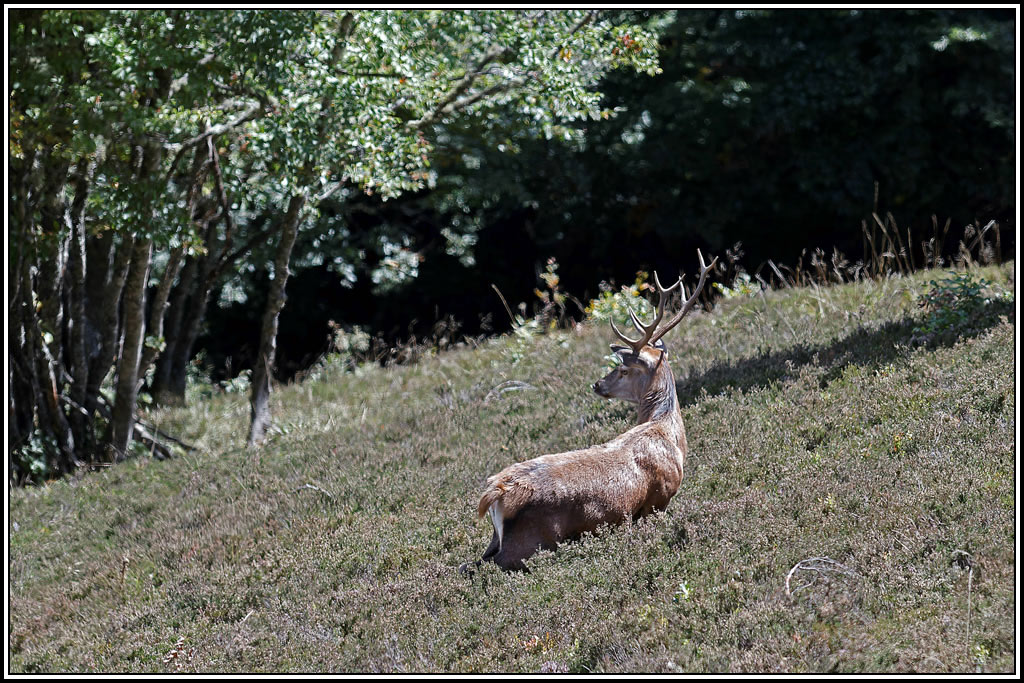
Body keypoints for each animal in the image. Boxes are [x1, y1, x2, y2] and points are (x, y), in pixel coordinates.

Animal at [467, 251, 717, 571]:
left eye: (622, 370)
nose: (598, 384)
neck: (666, 432)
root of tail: (497, 491)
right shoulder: (659, 499)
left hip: (496, 539)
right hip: (530, 541)